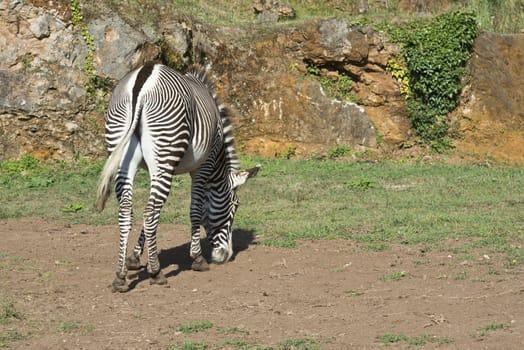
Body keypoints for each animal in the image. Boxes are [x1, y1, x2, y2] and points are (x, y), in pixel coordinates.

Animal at [95, 62, 258, 292]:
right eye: (234, 206)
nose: (226, 256)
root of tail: (143, 79)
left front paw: (134, 258)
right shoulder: (202, 167)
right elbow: (195, 211)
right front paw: (197, 258)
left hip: (125, 155)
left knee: (128, 211)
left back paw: (120, 277)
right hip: (164, 152)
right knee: (149, 214)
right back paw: (156, 273)